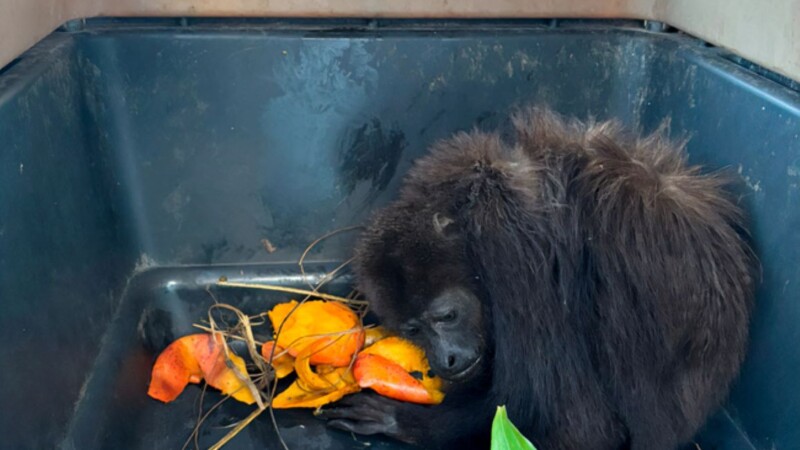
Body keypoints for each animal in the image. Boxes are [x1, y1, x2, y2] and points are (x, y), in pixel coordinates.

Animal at [319, 106, 755, 450]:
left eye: (446, 316)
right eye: (413, 330)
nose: (447, 358)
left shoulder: (510, 253)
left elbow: (581, 424)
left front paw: (405, 423)